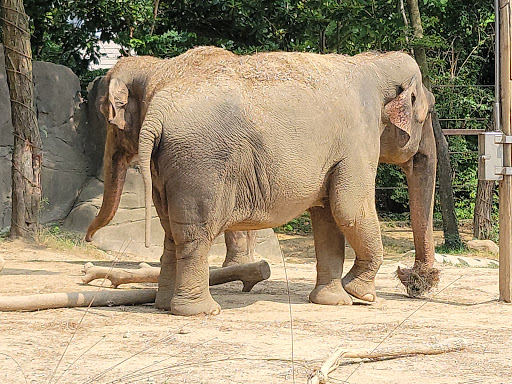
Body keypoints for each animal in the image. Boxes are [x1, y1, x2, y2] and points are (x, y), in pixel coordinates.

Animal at [87, 45, 436, 316]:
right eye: (430, 113)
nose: (419, 280)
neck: (374, 63)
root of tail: (159, 112)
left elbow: (328, 217)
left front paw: (333, 302)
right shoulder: (357, 141)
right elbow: (350, 209)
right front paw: (361, 295)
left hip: (169, 166)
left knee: (172, 232)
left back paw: (165, 306)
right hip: (200, 165)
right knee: (195, 233)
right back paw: (202, 311)